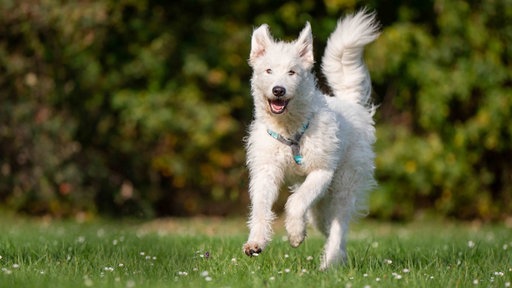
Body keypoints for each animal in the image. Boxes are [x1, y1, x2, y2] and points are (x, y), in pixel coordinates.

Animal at [243, 9, 380, 270]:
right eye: (268, 71)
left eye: (292, 72)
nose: (278, 90)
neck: (289, 130)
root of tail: (351, 103)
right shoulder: (266, 172)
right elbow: (261, 208)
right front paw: (256, 241)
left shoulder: (321, 172)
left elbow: (296, 203)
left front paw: (295, 233)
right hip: (321, 206)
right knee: (328, 226)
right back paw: (338, 257)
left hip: (344, 185)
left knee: (338, 225)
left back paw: (329, 262)